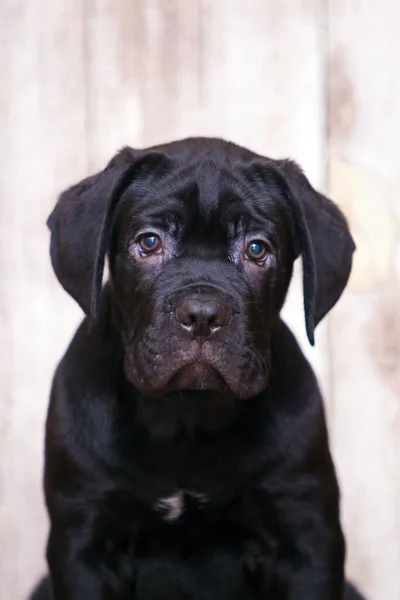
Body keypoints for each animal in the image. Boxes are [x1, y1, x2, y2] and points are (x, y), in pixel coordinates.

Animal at [39, 137, 356, 600]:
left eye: (257, 249)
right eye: (149, 242)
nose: (203, 314)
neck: (185, 415)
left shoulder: (305, 534)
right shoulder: (83, 542)